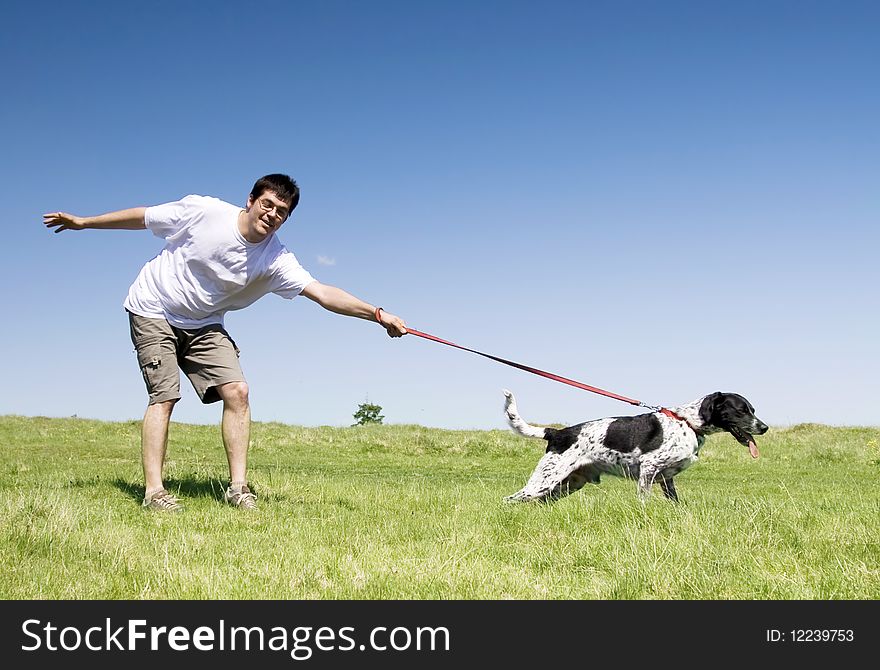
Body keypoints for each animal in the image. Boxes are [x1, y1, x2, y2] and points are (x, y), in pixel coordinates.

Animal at [506, 388, 768, 504]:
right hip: (543, 482)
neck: (687, 422)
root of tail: (556, 433)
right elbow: (644, 500)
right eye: (741, 410)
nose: (764, 427)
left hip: (565, 485)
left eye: (753, 409)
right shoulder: (648, 469)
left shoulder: (667, 478)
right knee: (510, 499)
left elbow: (675, 502)